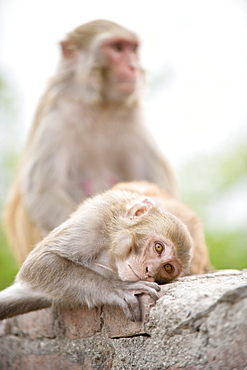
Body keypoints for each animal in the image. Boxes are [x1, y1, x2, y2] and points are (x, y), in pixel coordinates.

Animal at [0, 182, 193, 320]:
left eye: (167, 268)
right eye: (158, 247)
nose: (149, 271)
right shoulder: (94, 218)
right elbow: (40, 262)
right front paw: (117, 288)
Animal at [3, 20, 178, 264]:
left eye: (132, 49)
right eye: (117, 48)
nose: (133, 66)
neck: (100, 106)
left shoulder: (133, 120)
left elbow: (156, 188)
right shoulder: (55, 119)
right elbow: (45, 194)